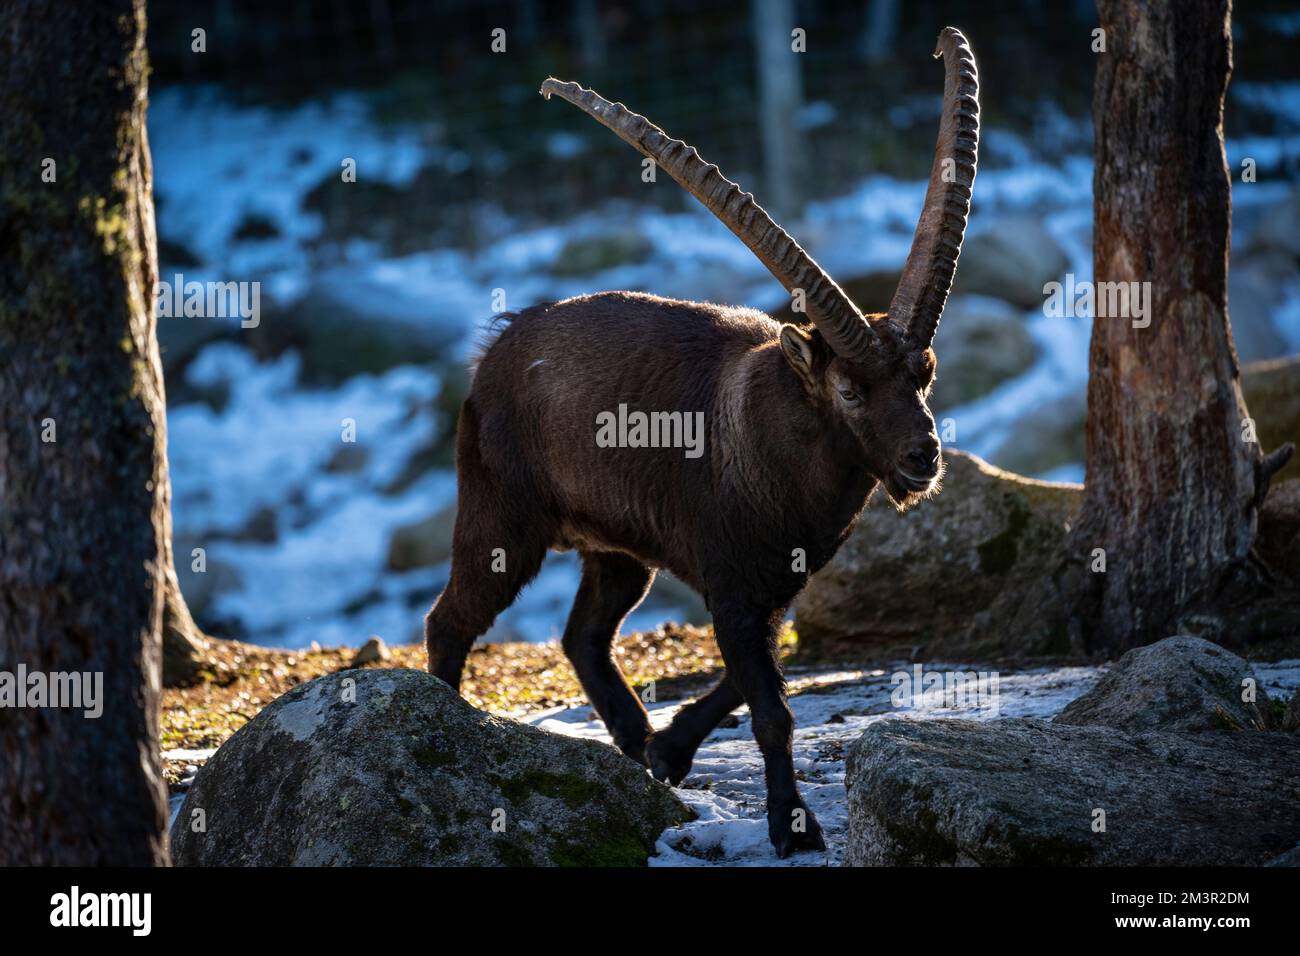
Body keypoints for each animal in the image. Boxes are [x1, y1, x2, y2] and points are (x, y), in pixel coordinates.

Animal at [426, 27, 980, 857]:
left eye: (926, 373)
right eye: (849, 390)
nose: (924, 458)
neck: (774, 447)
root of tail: (495, 350)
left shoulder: (770, 589)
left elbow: (757, 677)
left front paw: (673, 749)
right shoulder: (730, 583)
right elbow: (771, 707)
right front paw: (792, 826)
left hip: (619, 553)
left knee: (582, 635)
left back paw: (636, 746)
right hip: (503, 521)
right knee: (452, 619)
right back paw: (440, 728)